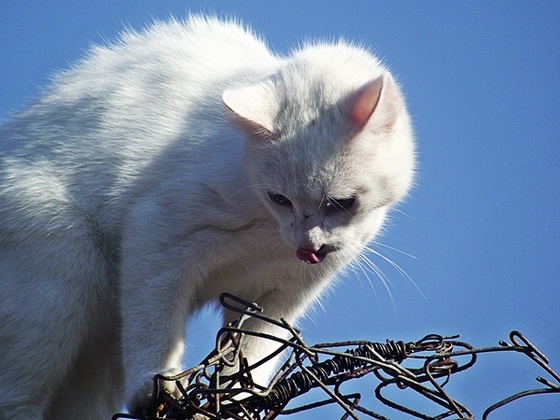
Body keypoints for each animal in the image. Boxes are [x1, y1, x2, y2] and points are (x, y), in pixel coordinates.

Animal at [0, 15, 416, 416]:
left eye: (341, 203)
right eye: (279, 198)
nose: (307, 246)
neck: (269, 234)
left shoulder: (283, 295)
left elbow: (255, 351)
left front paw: (239, 397)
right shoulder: (157, 235)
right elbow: (155, 329)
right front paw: (158, 386)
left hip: (96, 358)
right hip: (61, 290)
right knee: (17, 394)